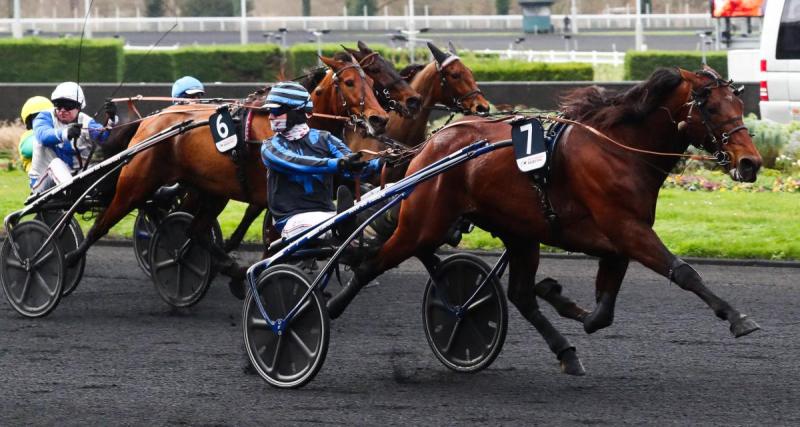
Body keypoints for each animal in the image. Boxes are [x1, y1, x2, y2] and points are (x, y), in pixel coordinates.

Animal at [64, 54, 390, 298]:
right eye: (349, 82)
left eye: (372, 83)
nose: (380, 119)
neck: (288, 128)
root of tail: (151, 120)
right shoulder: (274, 194)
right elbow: (276, 239)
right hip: (137, 182)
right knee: (105, 220)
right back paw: (68, 258)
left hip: (210, 190)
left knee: (194, 229)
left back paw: (225, 268)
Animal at [326, 66, 764, 374]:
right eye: (711, 107)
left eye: (740, 106)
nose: (751, 163)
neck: (619, 149)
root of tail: (430, 144)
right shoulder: (625, 227)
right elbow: (684, 272)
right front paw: (738, 318)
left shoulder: (619, 236)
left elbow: (602, 313)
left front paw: (558, 295)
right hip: (425, 222)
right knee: (372, 262)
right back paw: (327, 307)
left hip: (519, 232)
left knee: (519, 294)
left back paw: (564, 350)